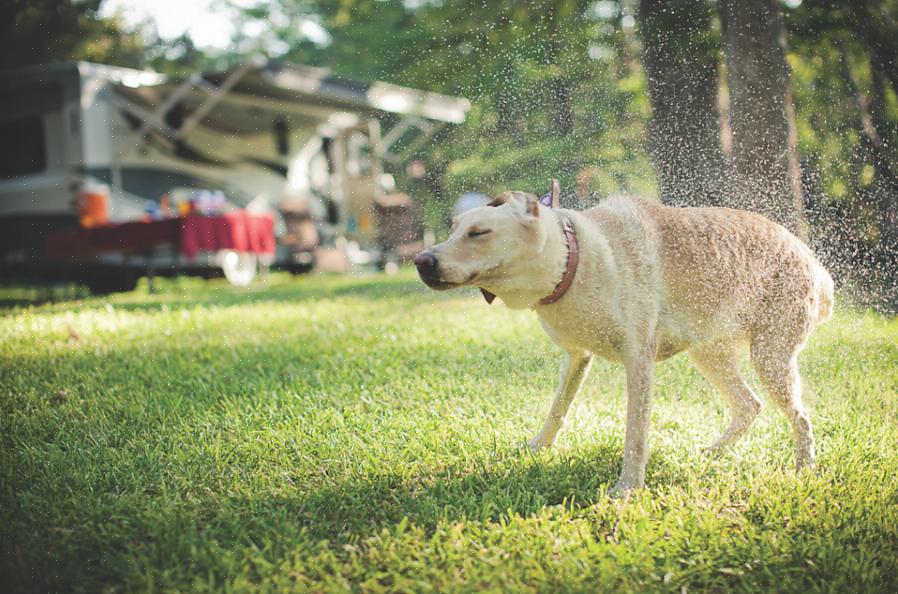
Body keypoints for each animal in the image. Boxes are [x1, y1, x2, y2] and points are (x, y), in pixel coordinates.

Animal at [412, 186, 832, 494]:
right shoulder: (577, 356)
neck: (576, 259)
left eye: (478, 233)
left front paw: (628, 488)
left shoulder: (638, 361)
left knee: (800, 417)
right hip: (709, 354)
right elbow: (558, 409)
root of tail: (813, 260)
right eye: (452, 229)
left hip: (770, 357)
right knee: (750, 405)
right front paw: (535, 449)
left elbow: (635, 435)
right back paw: (711, 453)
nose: (421, 261)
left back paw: (805, 467)